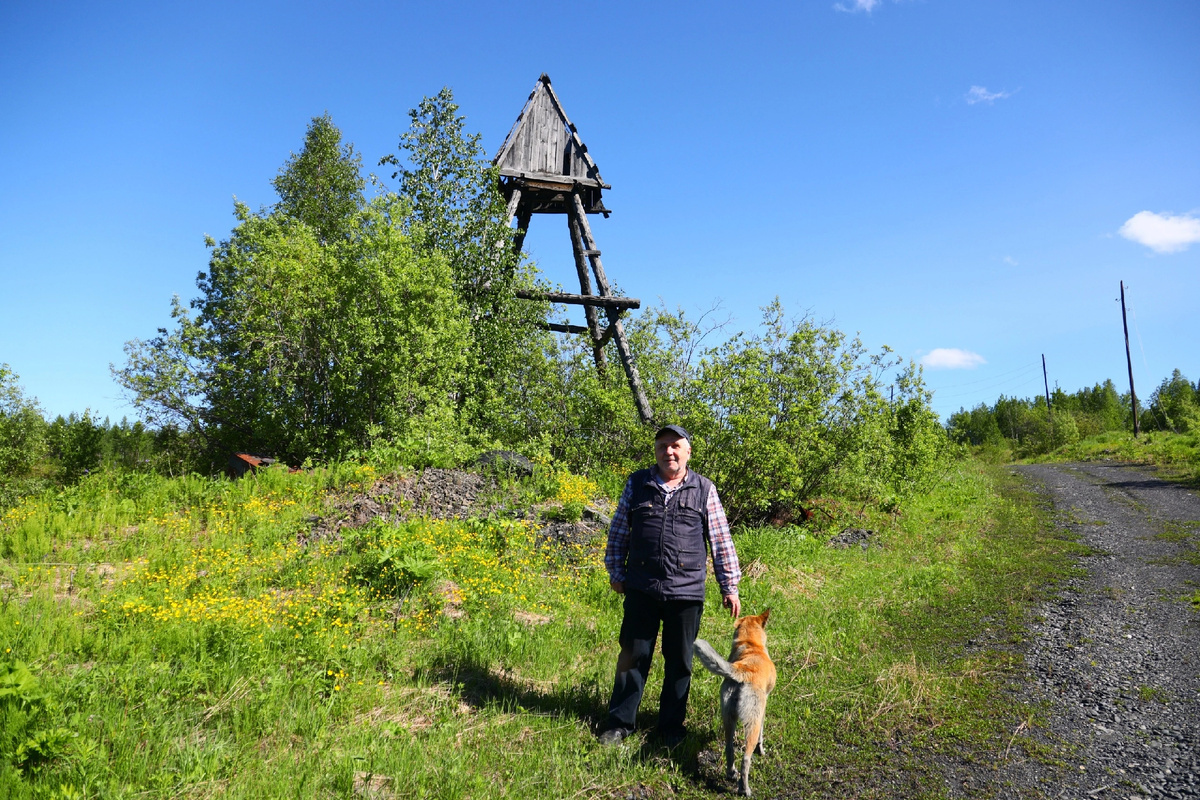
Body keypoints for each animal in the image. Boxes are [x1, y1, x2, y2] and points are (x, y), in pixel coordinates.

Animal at [696, 614, 777, 796]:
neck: (752, 646)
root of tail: (742, 671)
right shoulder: (764, 706)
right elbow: (762, 734)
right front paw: (762, 750)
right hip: (752, 722)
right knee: (746, 759)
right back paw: (744, 789)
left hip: (728, 717)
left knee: (729, 748)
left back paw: (731, 773)